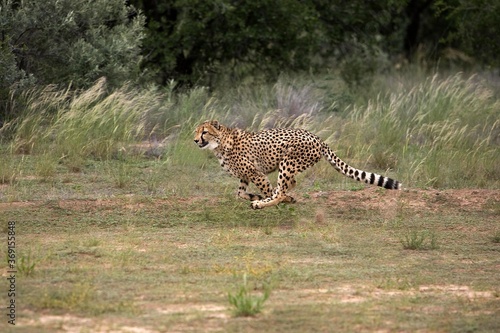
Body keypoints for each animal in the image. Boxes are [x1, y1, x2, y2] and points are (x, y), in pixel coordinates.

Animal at [193, 119, 400, 208]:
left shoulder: (255, 173)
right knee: (290, 183)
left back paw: (262, 204)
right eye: (196, 131)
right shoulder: (245, 176)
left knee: (283, 187)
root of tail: (317, 138)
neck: (220, 144)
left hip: (288, 162)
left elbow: (269, 190)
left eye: (204, 132)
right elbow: (239, 194)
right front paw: (253, 196)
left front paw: (267, 199)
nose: (195, 140)